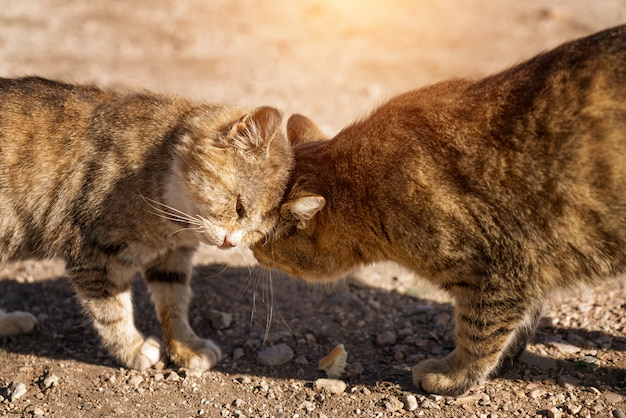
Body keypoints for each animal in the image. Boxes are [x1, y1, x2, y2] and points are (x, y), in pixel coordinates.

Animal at [0, 76, 292, 374]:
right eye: (239, 207)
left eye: (257, 232)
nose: (230, 243)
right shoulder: (93, 254)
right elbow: (112, 311)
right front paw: (132, 348)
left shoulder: (172, 258)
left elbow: (175, 302)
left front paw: (186, 346)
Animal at [252, 24, 624, 396]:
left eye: (257, 236)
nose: (250, 252)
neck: (365, 189)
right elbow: (524, 320)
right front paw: (508, 358)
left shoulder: (501, 271)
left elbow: (479, 333)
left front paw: (455, 375)